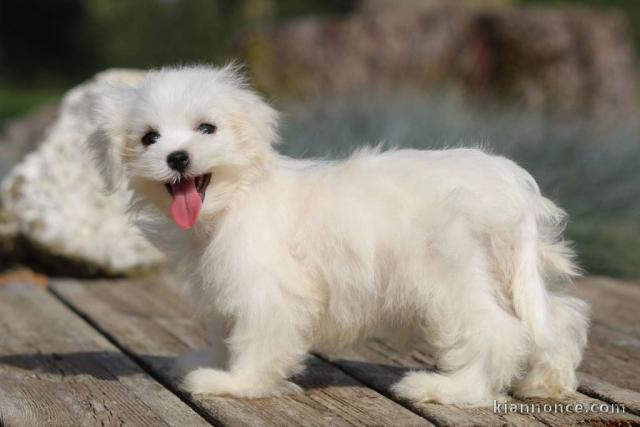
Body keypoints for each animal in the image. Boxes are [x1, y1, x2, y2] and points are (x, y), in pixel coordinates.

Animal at [90, 65, 592, 406]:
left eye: (206, 128)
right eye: (149, 137)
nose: (177, 157)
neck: (235, 197)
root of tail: (509, 182)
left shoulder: (267, 286)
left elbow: (258, 334)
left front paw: (236, 382)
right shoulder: (225, 284)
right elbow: (225, 329)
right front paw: (214, 362)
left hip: (452, 274)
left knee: (497, 331)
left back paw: (448, 388)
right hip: (508, 271)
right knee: (558, 318)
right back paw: (545, 383)